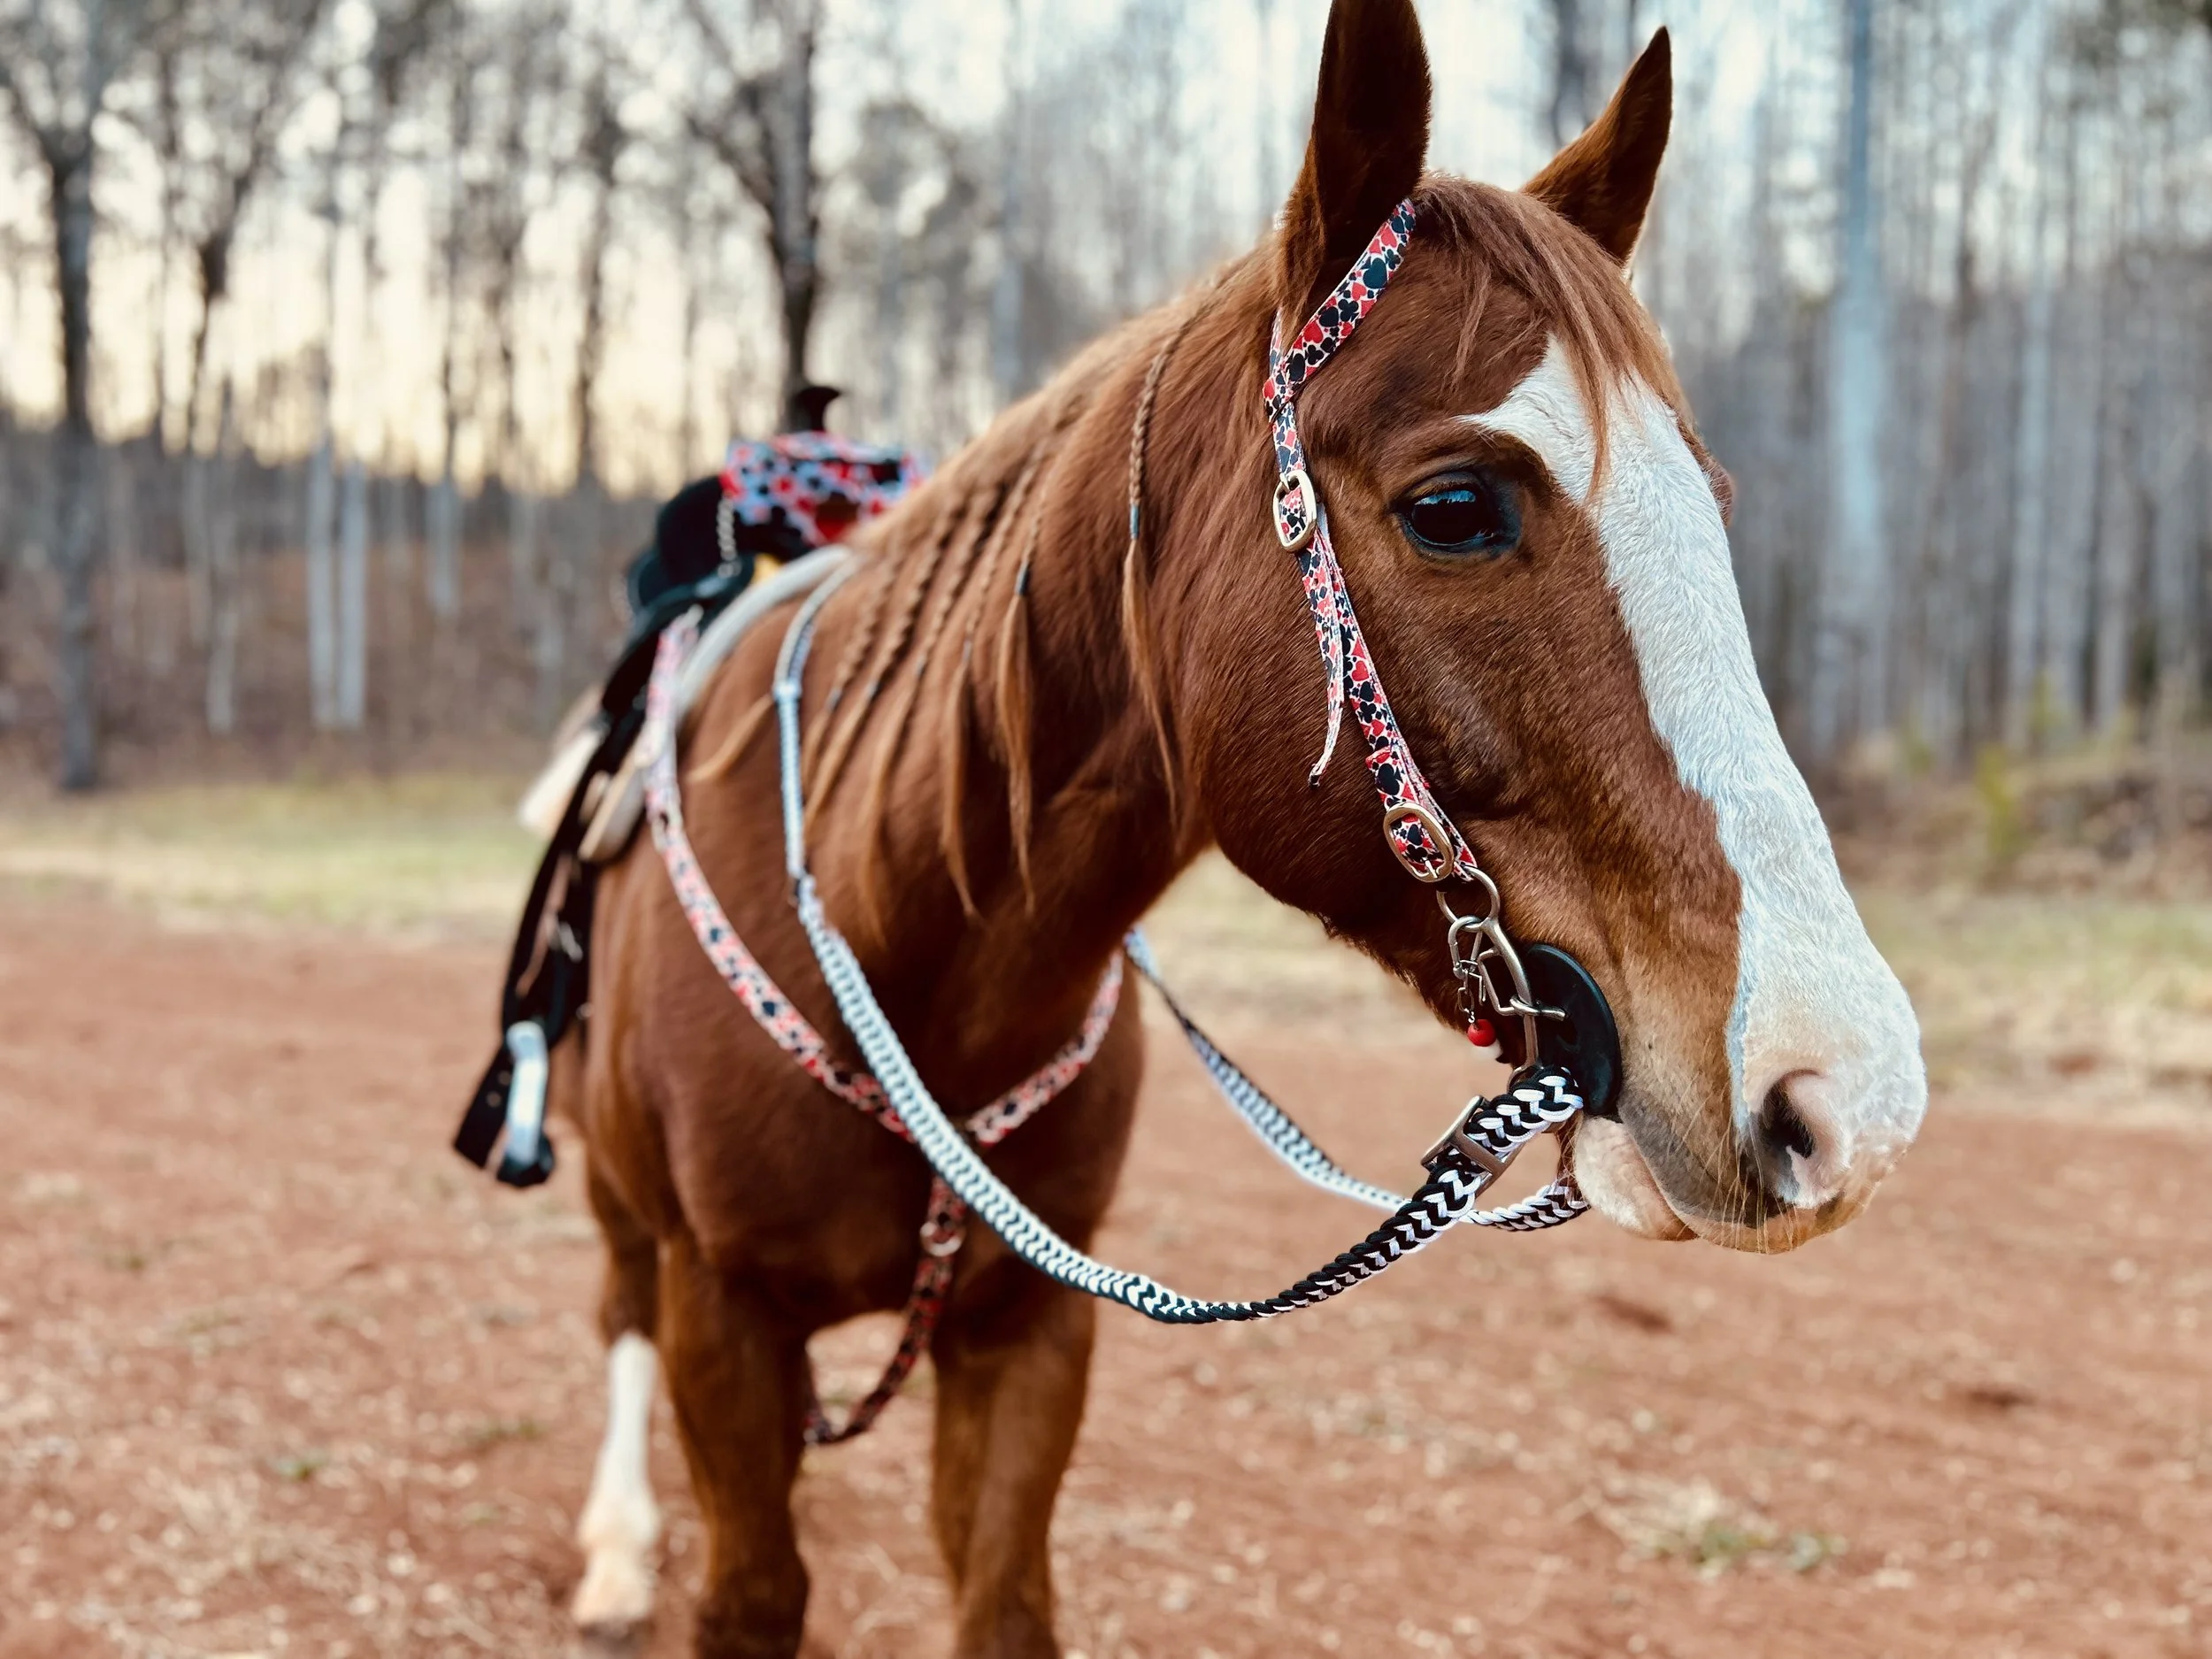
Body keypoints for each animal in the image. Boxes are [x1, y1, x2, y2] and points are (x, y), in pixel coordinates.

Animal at [552, 5, 1927, 1652]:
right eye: (1457, 505)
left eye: (1708, 500)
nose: (1842, 1090)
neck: (903, 949)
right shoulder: (726, 1318)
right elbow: (745, 1567)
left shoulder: (1028, 1335)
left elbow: (1003, 1596)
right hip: (624, 1205)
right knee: (617, 1309)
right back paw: (617, 1545)